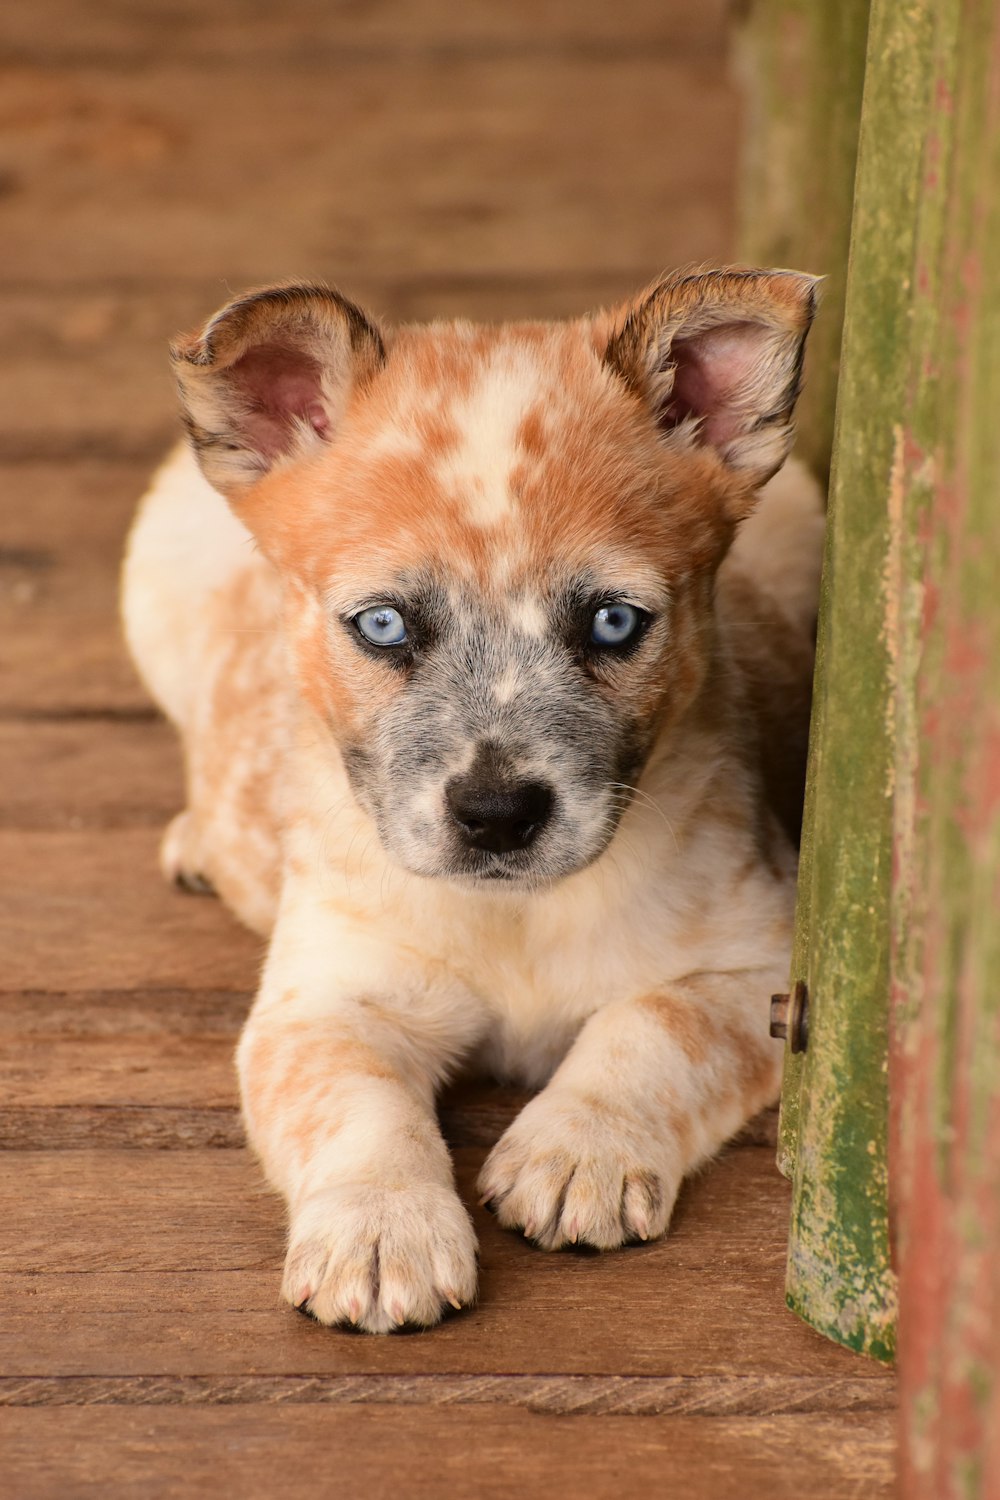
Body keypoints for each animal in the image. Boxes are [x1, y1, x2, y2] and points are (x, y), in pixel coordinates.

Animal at [121, 264, 821, 1332]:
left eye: (614, 622)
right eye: (382, 624)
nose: (496, 817)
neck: (516, 920)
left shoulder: (760, 970)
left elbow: (652, 1027)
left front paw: (577, 1154)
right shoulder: (327, 999)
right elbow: (360, 1110)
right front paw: (381, 1233)